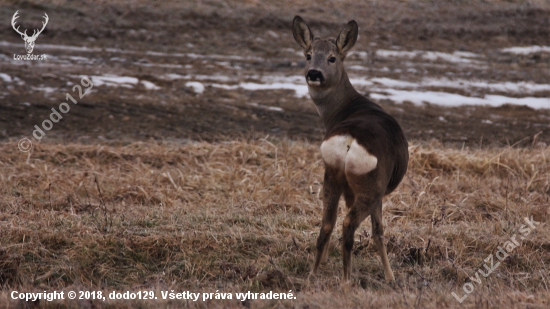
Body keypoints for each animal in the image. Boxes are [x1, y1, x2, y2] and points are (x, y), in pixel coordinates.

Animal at [294, 16, 410, 282]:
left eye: (332, 58)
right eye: (308, 55)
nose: (313, 73)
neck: (343, 108)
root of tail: (349, 140)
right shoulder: (378, 193)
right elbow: (379, 231)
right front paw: (390, 276)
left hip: (332, 174)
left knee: (327, 222)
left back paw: (313, 273)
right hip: (371, 186)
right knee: (349, 224)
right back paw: (347, 280)